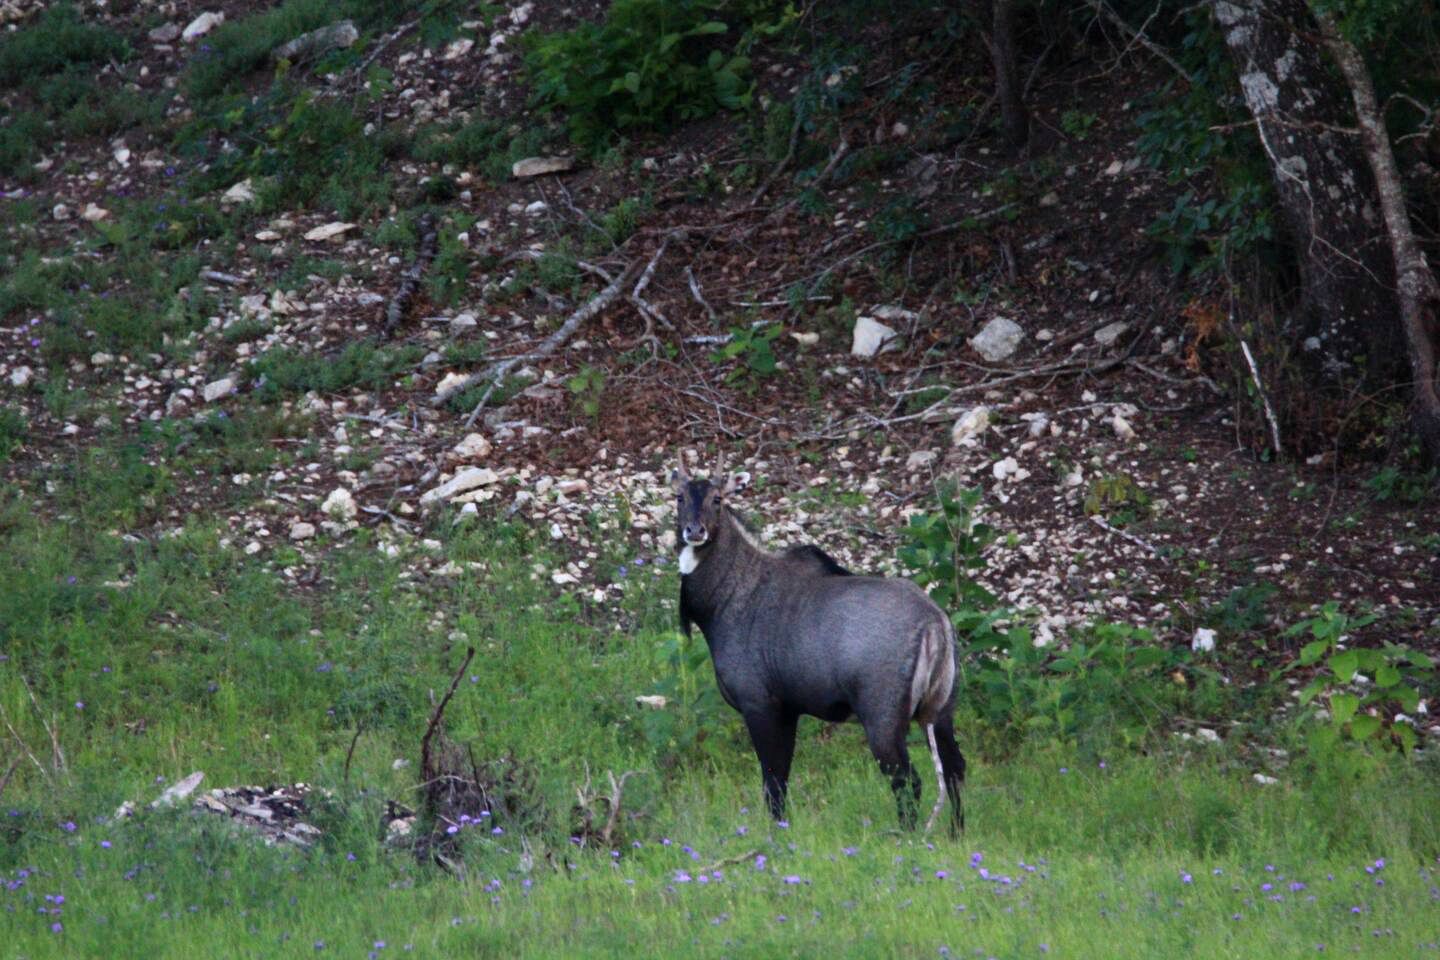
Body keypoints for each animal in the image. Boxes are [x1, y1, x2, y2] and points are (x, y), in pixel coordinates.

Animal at [665, 457, 961, 834]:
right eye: (679, 497)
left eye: (718, 498)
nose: (695, 531)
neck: (726, 599)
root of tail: (936, 624)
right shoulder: (789, 709)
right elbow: (782, 779)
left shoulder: (760, 704)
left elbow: (772, 782)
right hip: (940, 711)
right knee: (954, 771)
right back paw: (956, 835)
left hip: (882, 717)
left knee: (908, 780)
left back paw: (908, 837)